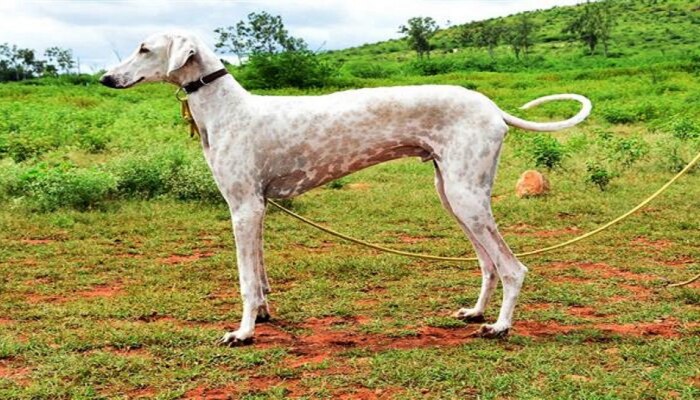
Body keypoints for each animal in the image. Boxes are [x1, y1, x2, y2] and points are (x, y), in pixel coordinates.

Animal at [98, 31, 592, 346]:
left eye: (144, 48)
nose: (105, 79)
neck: (226, 108)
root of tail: (493, 108)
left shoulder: (242, 208)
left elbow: (244, 280)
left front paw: (243, 332)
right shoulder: (256, 208)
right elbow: (260, 276)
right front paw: (264, 315)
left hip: (466, 197)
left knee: (513, 268)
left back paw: (500, 328)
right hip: (454, 195)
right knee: (488, 263)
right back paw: (476, 313)